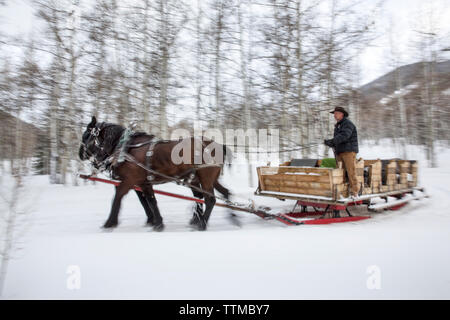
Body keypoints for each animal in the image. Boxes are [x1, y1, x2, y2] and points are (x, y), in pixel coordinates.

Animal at [78, 116, 232, 231]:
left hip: (205, 177)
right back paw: (228, 216)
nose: (80, 153)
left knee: (210, 200)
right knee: (220, 193)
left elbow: (117, 198)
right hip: (202, 179)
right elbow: (150, 200)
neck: (126, 148)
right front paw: (157, 222)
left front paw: (109, 223)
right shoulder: (143, 183)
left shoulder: (129, 180)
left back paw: (202, 223)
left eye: (86, 136)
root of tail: (219, 145)